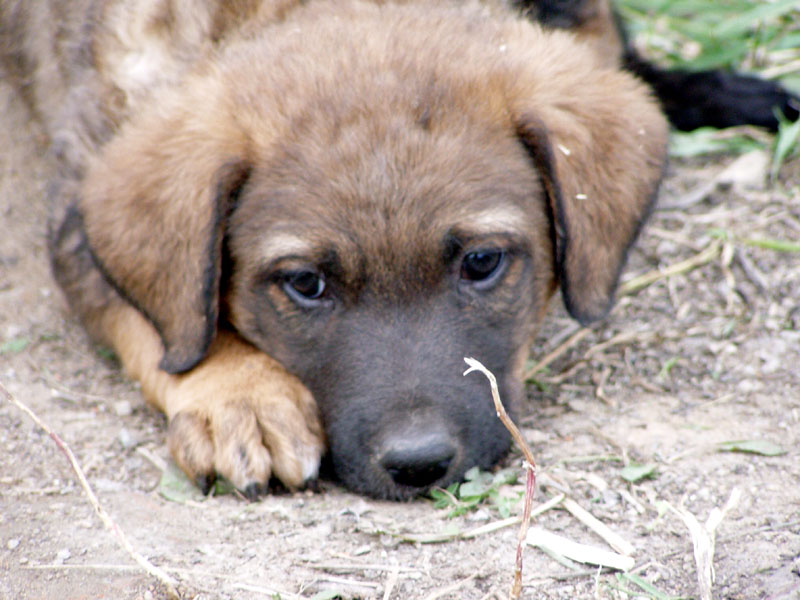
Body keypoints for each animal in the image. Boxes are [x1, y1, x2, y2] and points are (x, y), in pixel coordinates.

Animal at [3, 0, 668, 496]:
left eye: (481, 262)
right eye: (305, 283)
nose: (418, 464)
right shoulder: (76, 215)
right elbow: (172, 330)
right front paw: (242, 397)